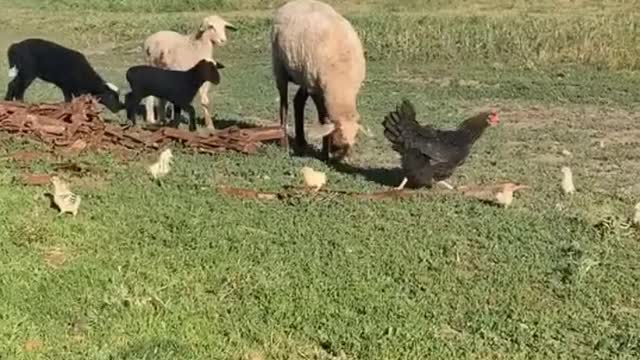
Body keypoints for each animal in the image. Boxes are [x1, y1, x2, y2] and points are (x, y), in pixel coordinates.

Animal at [272, 0, 364, 160]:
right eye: (337, 140)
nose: (338, 158)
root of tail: (290, 3)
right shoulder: (316, 89)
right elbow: (323, 119)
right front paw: (324, 153)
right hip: (280, 67)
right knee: (284, 105)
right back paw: (284, 143)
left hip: (304, 76)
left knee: (298, 101)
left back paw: (301, 141)